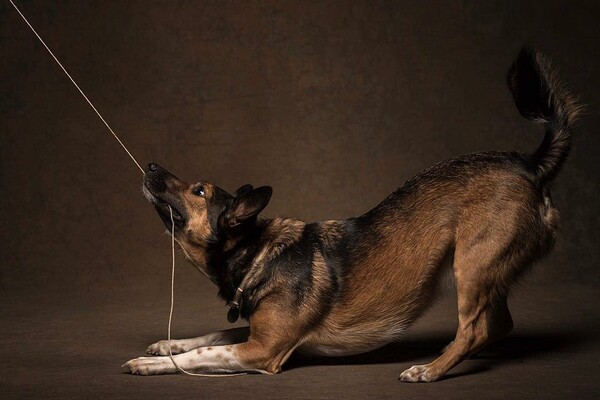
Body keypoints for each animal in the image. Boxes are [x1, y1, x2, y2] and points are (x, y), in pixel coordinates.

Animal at [123, 48, 580, 382]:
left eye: (198, 191)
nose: (150, 165)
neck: (256, 252)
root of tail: (530, 164)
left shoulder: (263, 349)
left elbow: (207, 350)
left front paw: (153, 364)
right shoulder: (257, 332)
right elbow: (212, 333)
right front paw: (167, 345)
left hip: (471, 264)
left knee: (475, 328)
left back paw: (430, 369)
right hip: (486, 268)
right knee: (498, 324)